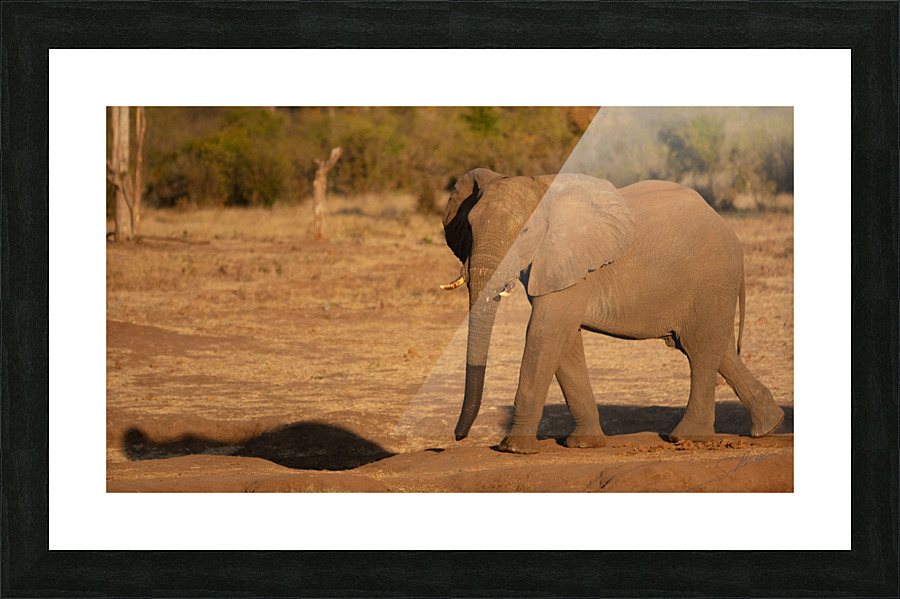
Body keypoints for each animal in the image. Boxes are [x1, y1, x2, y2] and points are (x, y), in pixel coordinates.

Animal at [441, 168, 785, 454]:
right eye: (468, 227)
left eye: (524, 233)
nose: (457, 437)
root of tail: (728, 229)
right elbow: (563, 342)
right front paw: (584, 444)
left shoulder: (572, 260)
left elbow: (545, 333)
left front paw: (514, 449)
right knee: (716, 349)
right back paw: (769, 425)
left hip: (713, 278)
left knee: (701, 350)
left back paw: (686, 438)